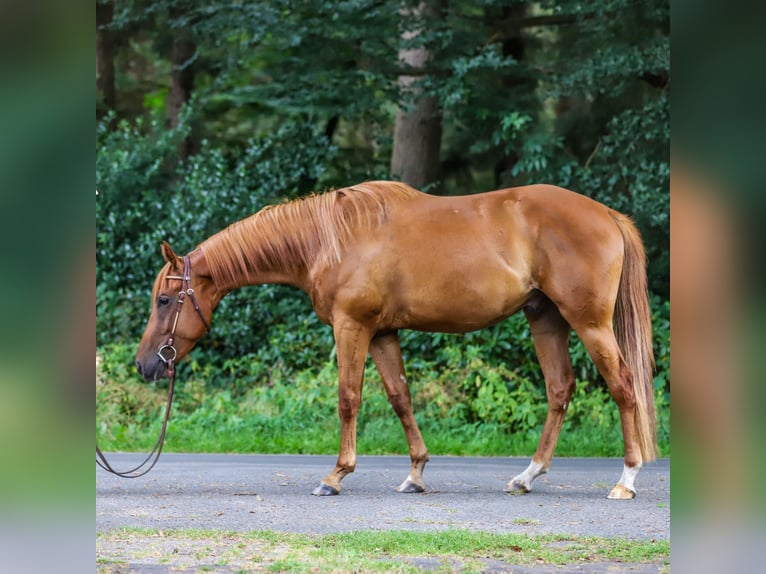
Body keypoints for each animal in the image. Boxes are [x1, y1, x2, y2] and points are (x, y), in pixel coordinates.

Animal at [135, 181, 657, 499]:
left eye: (164, 300)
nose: (146, 365)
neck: (329, 241)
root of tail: (606, 214)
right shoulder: (383, 332)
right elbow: (399, 396)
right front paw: (416, 473)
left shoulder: (352, 326)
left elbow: (348, 397)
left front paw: (336, 475)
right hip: (545, 319)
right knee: (559, 389)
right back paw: (527, 476)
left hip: (589, 323)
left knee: (623, 387)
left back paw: (626, 479)